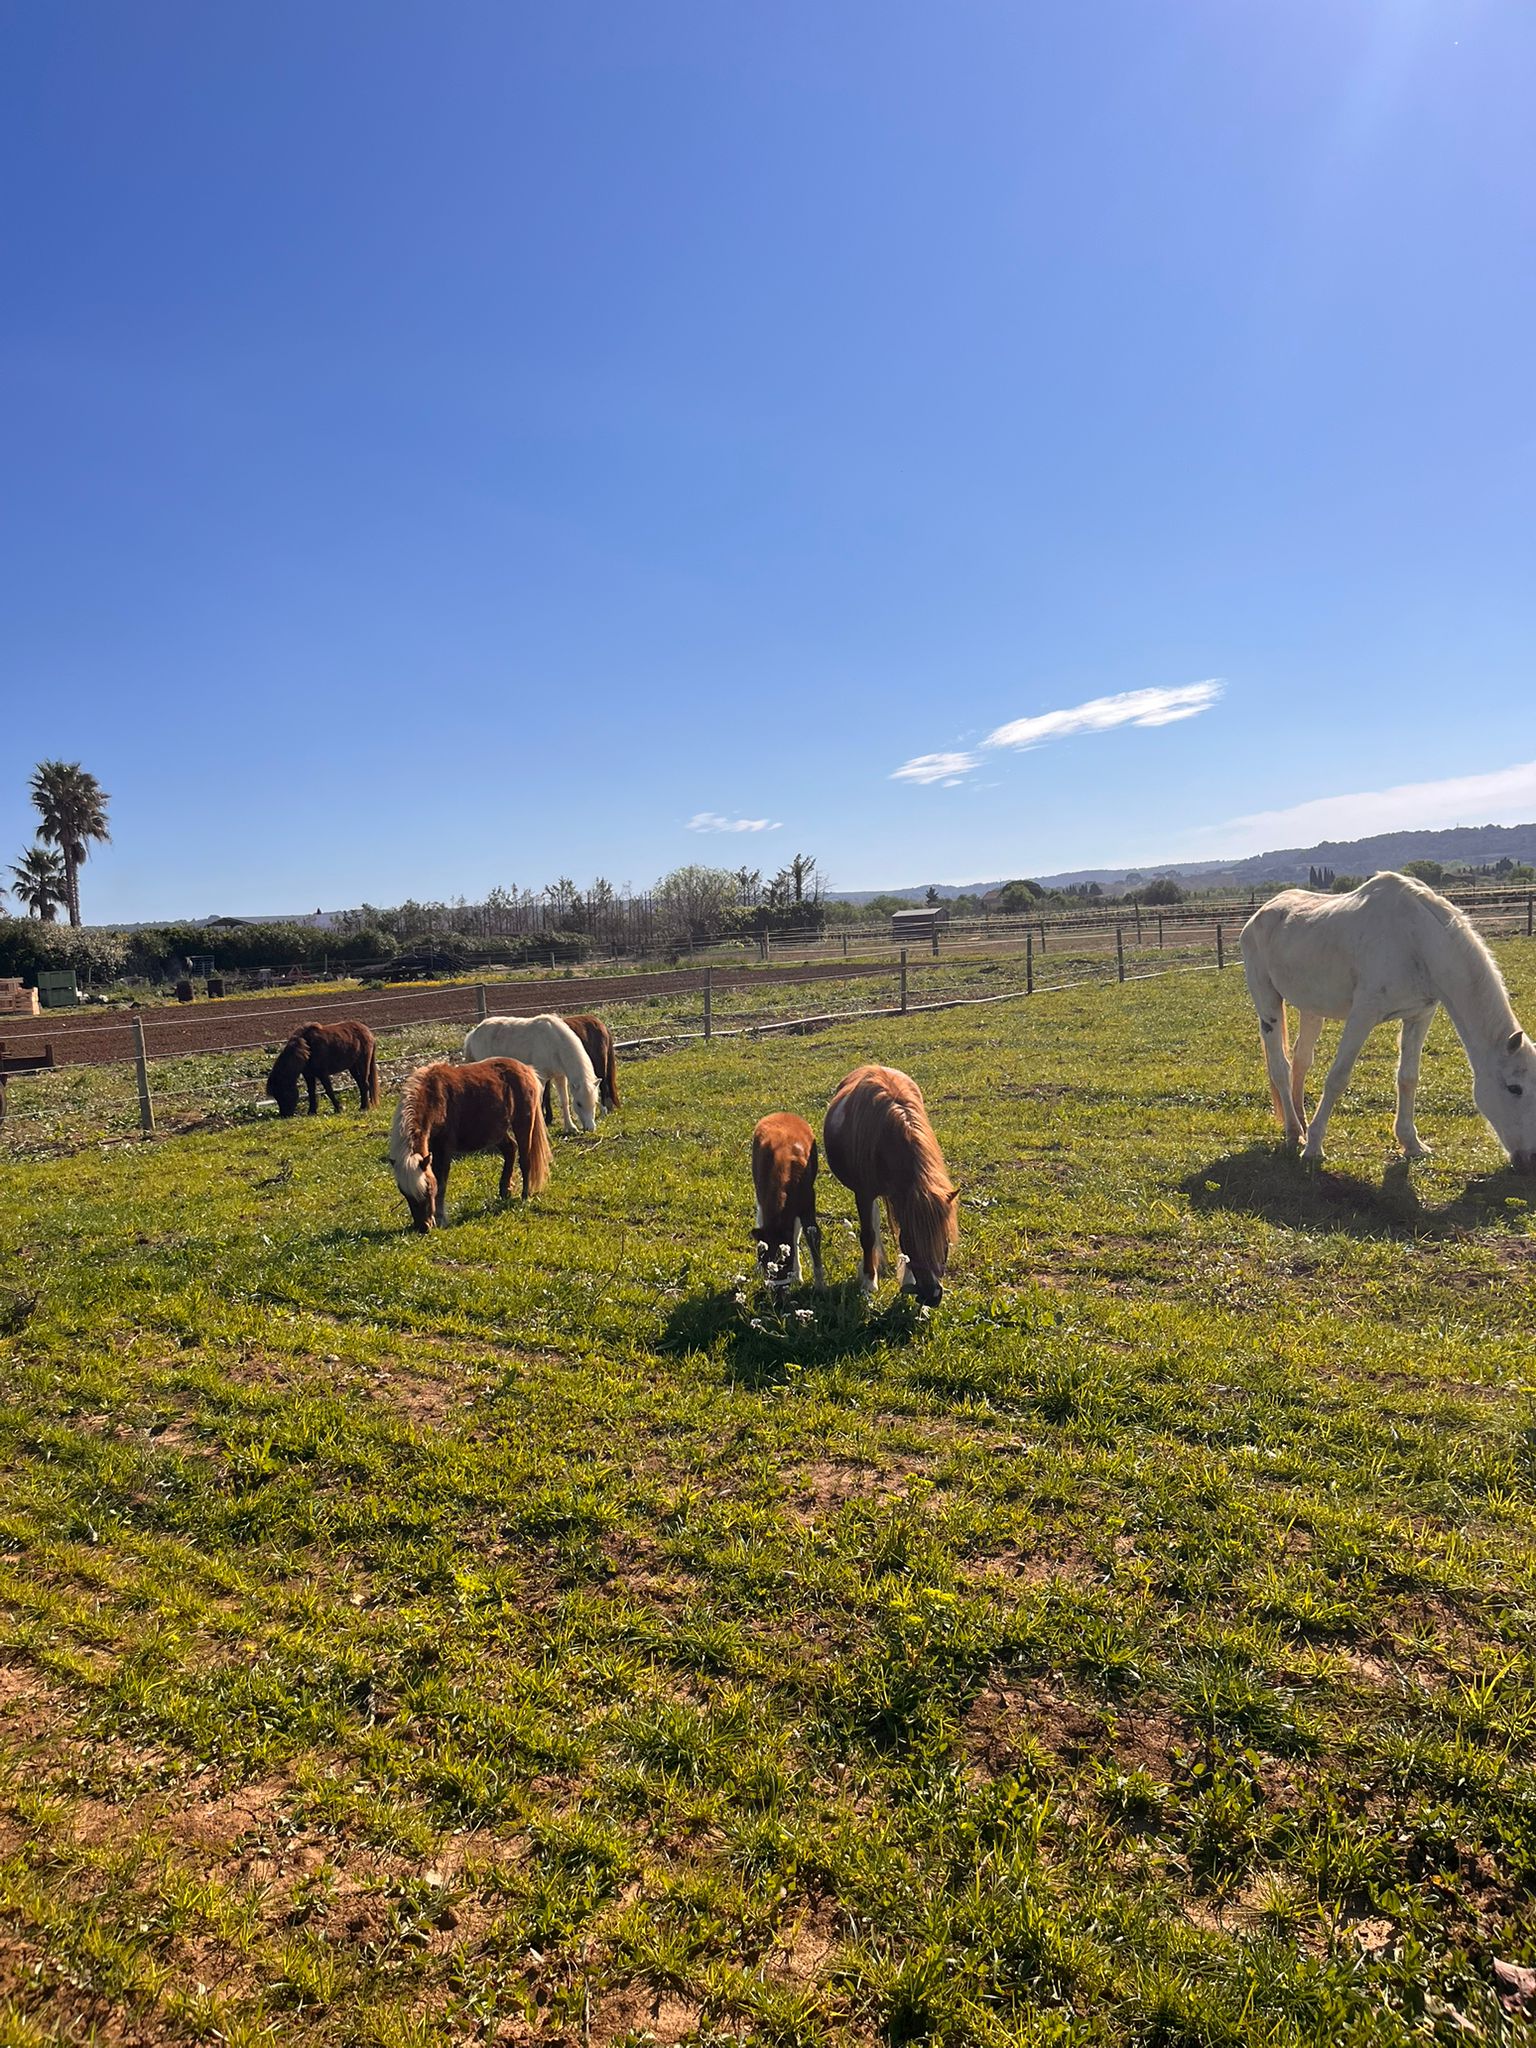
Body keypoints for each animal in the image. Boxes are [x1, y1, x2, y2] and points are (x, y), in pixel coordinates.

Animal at [388, 1058, 551, 1231]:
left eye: (428, 1190)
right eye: (405, 1194)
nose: (423, 1227)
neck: (433, 1096)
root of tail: (526, 1069)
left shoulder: (444, 1149)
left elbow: (442, 1182)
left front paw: (441, 1218)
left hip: (523, 1124)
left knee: (525, 1160)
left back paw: (525, 1196)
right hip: (496, 1131)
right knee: (510, 1149)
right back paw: (505, 1190)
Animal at [461, 1014, 599, 1134]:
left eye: (594, 1103)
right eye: (579, 1104)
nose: (590, 1128)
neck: (554, 1044)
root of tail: (474, 1032)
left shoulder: (560, 1077)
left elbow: (564, 1101)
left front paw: (570, 1127)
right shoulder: (541, 1077)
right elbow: (540, 1099)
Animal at [751, 1113, 825, 1301]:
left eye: (785, 1262)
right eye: (766, 1264)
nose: (778, 1297)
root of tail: (783, 1113)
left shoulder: (808, 1205)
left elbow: (812, 1235)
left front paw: (820, 1287)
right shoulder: (762, 1198)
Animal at [823, 1064, 958, 1306]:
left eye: (944, 1241)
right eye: (912, 1241)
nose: (932, 1296)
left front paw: (907, 1279)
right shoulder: (864, 1194)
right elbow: (868, 1236)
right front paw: (869, 1282)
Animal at [1240, 871, 1536, 1167]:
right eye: (1514, 1088)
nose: (1530, 1160)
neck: (1416, 940)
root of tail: (1261, 914)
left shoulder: (1420, 1015)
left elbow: (1408, 1077)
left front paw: (1411, 1143)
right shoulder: (1363, 1014)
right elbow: (1337, 1078)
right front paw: (1314, 1147)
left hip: (1311, 1009)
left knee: (1301, 1061)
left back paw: (1301, 1121)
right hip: (1267, 1001)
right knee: (1280, 1067)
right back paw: (1294, 1132)